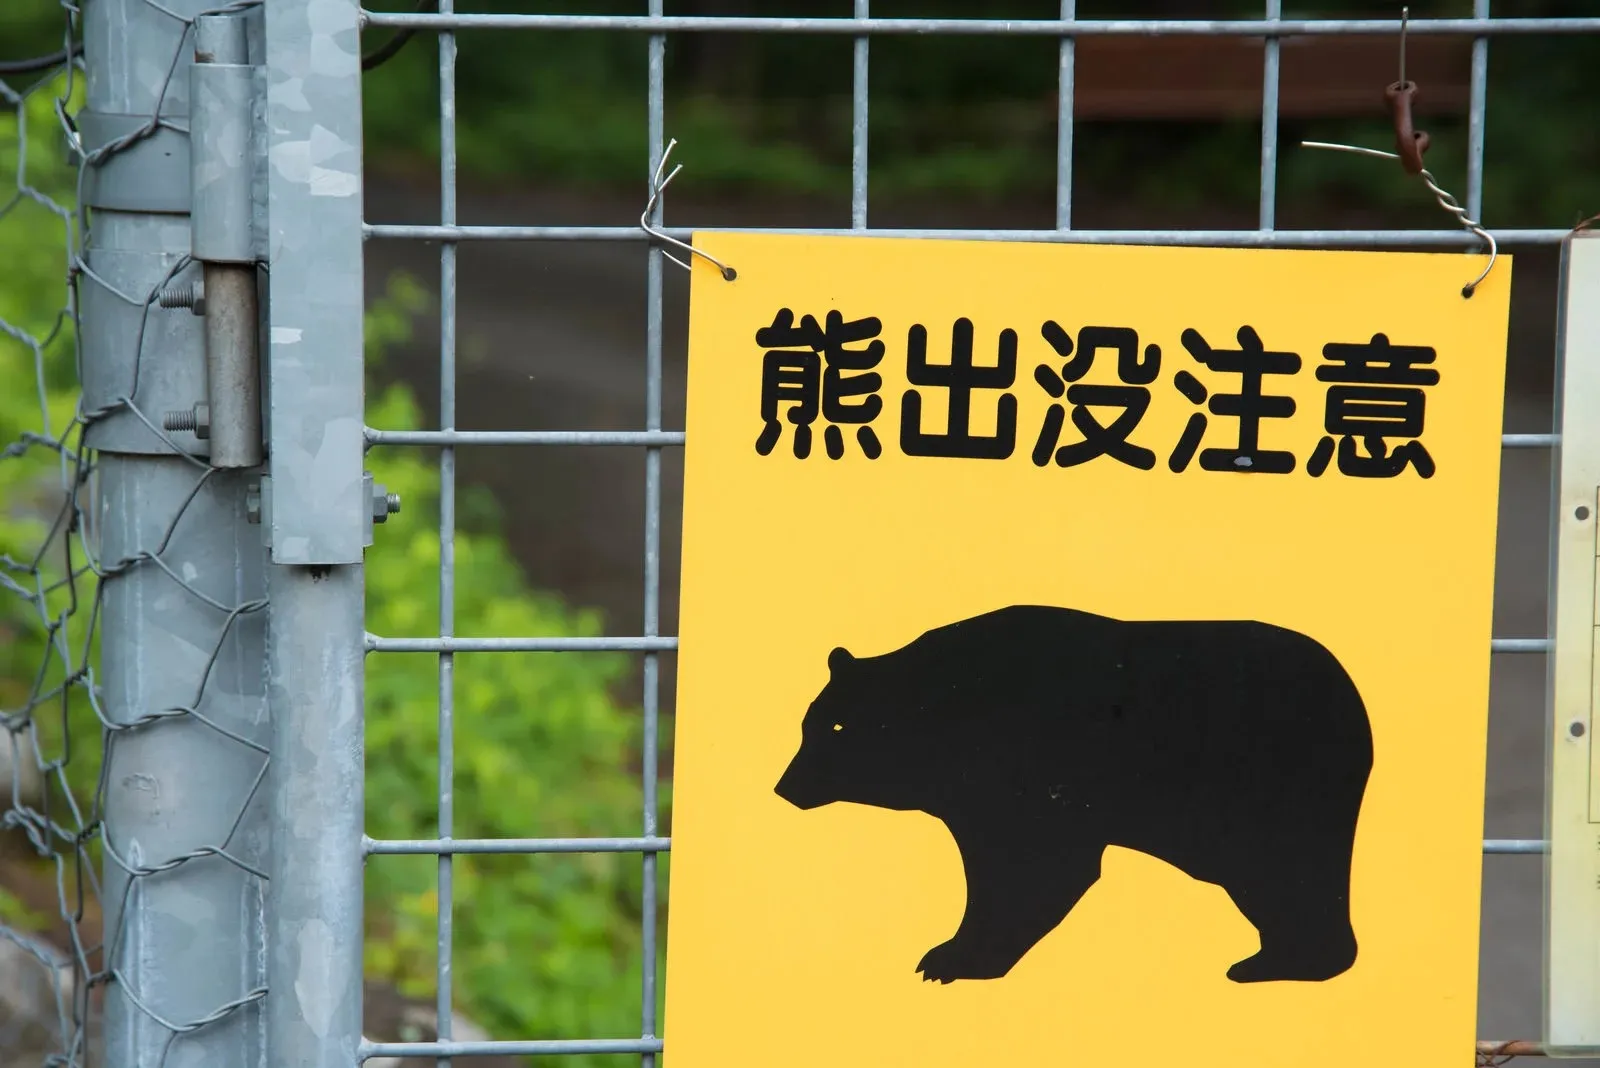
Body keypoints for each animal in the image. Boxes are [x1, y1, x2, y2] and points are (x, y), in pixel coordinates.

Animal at [774, 603, 1373, 986]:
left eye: (836, 728)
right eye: (809, 724)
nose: (784, 786)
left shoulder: (1028, 774)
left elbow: (1037, 867)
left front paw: (952, 959)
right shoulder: (972, 797)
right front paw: (949, 953)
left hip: (1275, 788)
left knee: (1289, 874)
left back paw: (1284, 963)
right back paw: (1272, 958)